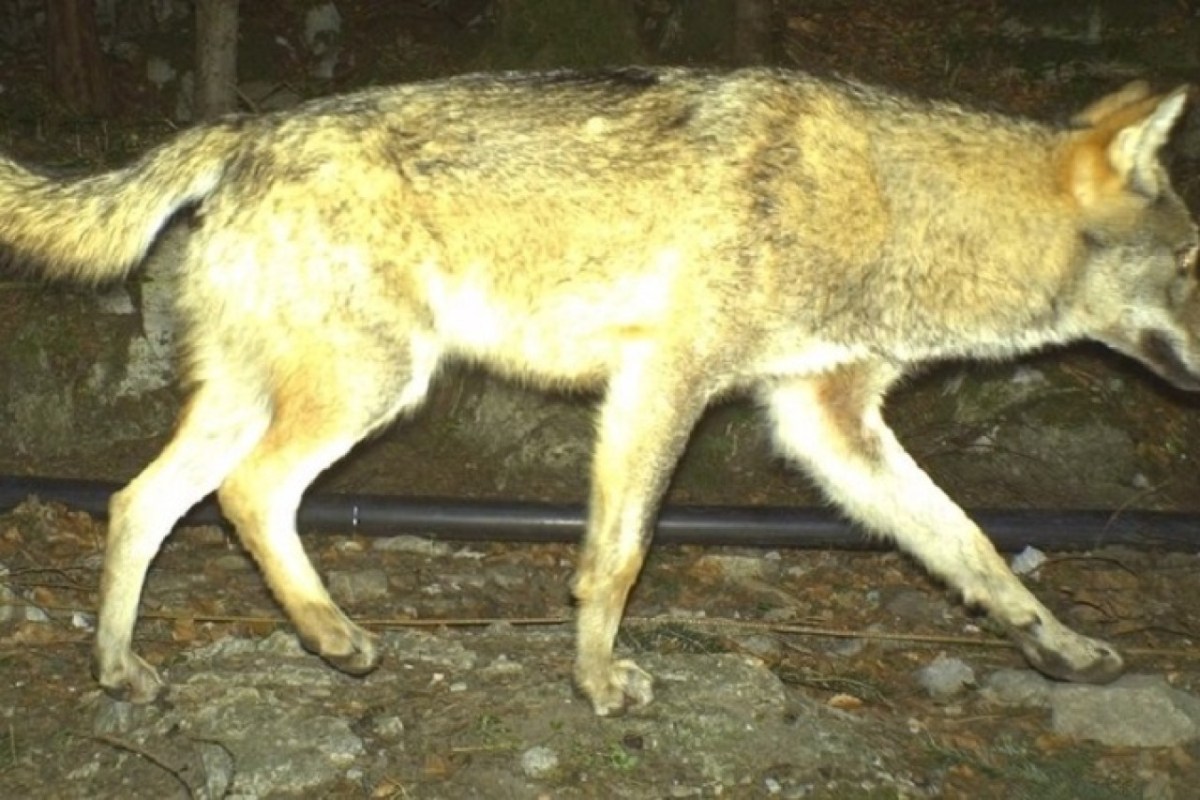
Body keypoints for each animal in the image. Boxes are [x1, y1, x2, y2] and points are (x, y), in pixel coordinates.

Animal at [0, 67, 1194, 716]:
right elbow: (617, 558)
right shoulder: (662, 382)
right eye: (1191, 261)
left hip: (265, 398)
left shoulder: (829, 421)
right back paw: (333, 636)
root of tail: (242, 129)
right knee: (248, 496)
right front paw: (597, 682)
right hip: (372, 387)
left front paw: (1058, 648)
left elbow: (974, 546)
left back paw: (118, 668)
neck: (895, 211)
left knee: (136, 502)